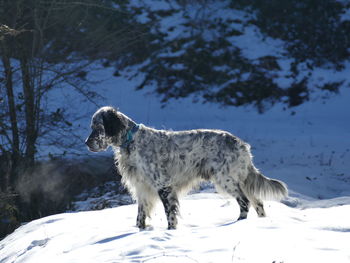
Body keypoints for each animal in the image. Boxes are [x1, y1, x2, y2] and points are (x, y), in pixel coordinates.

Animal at [85, 106, 288, 230]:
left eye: (98, 127)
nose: (86, 142)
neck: (131, 141)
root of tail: (241, 144)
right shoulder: (142, 188)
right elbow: (140, 216)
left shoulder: (163, 186)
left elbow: (170, 213)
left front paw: (170, 232)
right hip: (238, 180)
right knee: (258, 202)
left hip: (226, 180)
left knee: (245, 201)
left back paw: (237, 224)